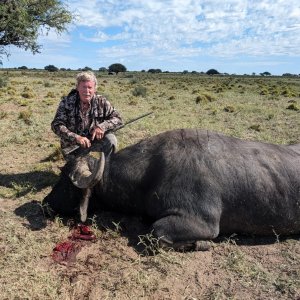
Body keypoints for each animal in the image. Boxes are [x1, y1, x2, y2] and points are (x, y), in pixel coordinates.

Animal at [44, 129, 300, 251]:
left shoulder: (202, 224)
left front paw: (201, 244)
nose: (46, 202)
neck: (151, 171)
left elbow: (156, 232)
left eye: (65, 181)